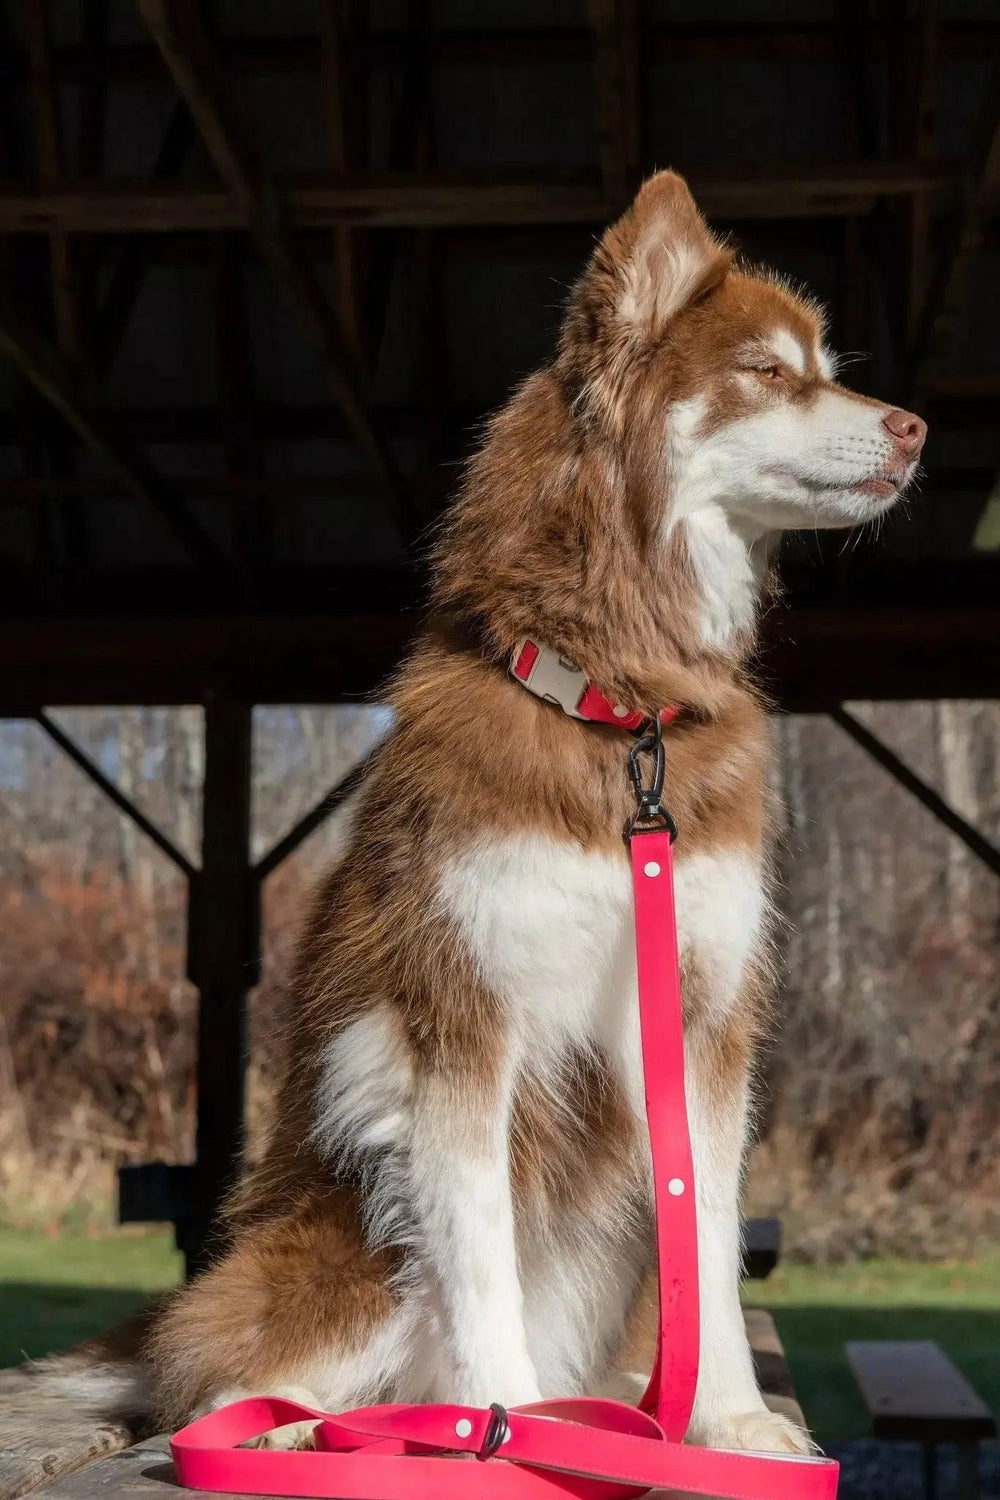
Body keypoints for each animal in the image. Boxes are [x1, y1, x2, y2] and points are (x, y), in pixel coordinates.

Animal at [137, 172, 929, 1452]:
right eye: (767, 371)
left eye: (824, 366)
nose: (916, 428)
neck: (619, 711)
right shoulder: (460, 1020)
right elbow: (476, 1253)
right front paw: (501, 1426)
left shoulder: (705, 1019)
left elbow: (707, 1240)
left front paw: (729, 1423)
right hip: (340, 1248)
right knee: (216, 1369)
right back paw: (299, 1427)